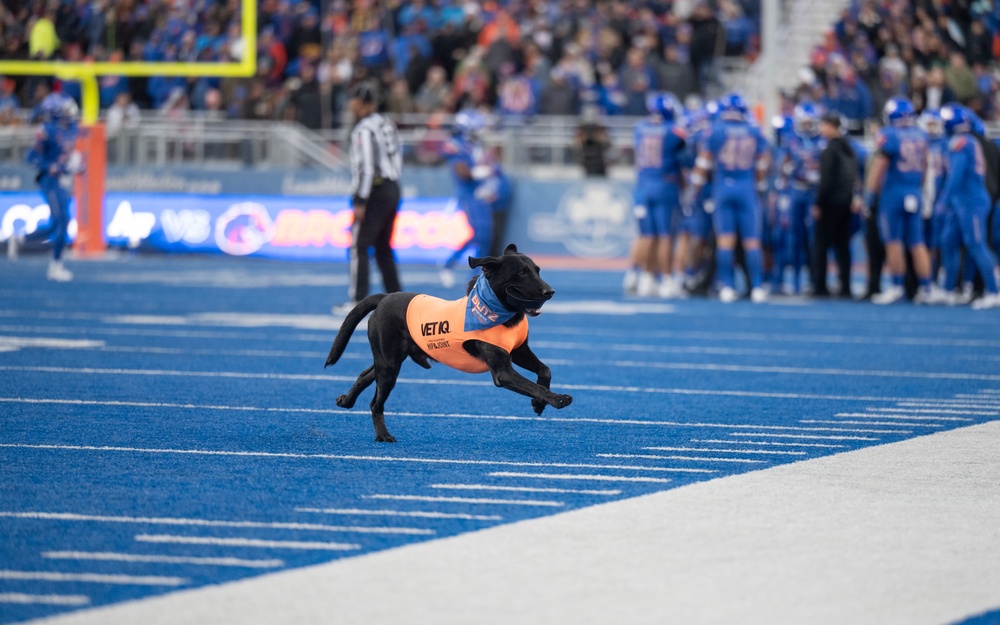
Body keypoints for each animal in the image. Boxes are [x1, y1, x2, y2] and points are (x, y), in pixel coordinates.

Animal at [324, 241, 576, 442]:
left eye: (537, 270)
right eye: (522, 273)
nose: (550, 291)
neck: (499, 311)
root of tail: (385, 297)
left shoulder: (518, 351)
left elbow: (545, 371)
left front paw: (539, 403)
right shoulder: (502, 372)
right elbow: (533, 385)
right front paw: (558, 399)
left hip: (391, 358)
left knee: (365, 374)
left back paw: (346, 400)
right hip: (389, 364)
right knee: (376, 403)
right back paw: (383, 435)